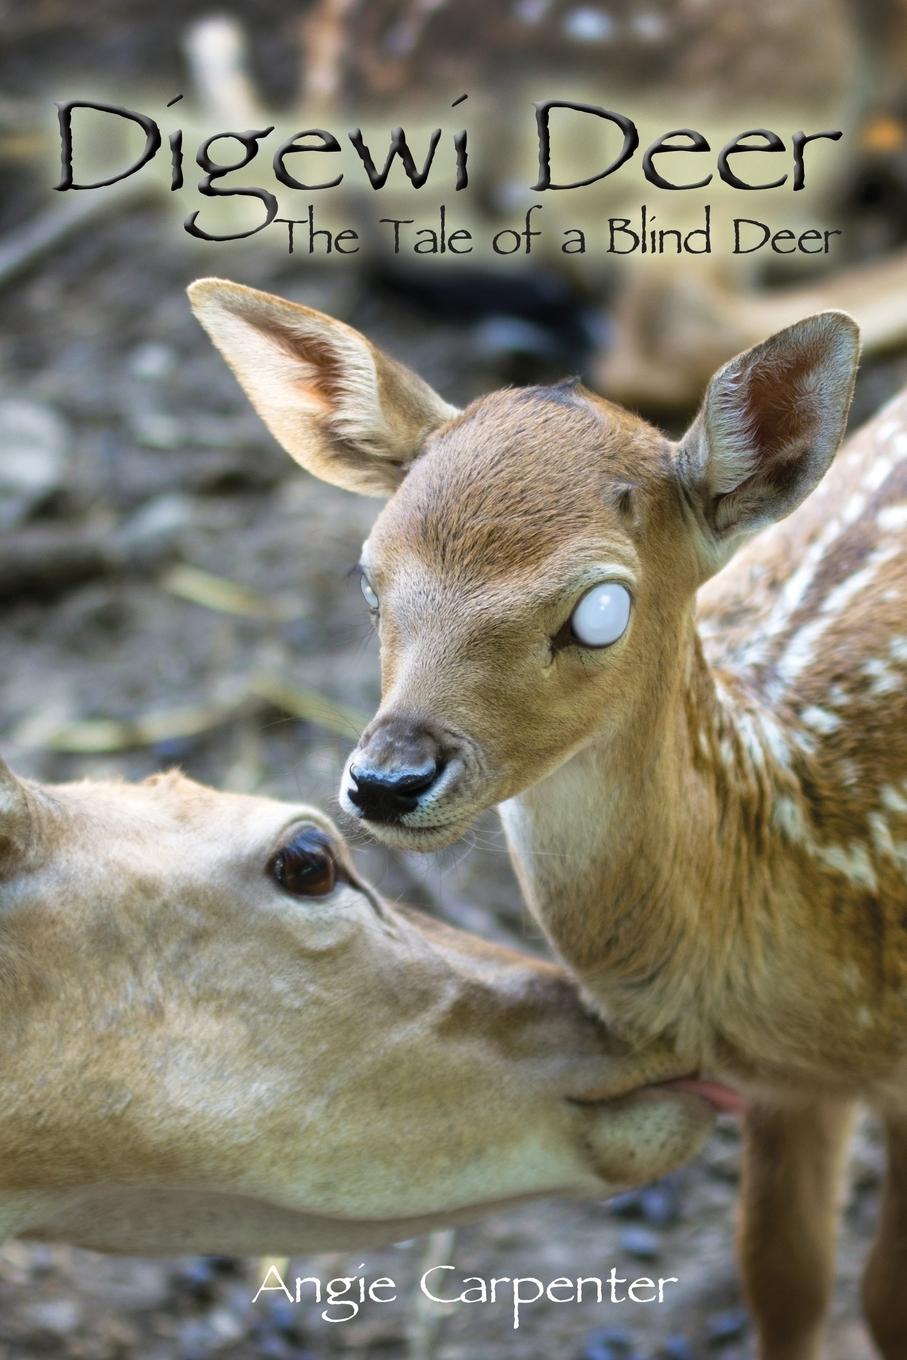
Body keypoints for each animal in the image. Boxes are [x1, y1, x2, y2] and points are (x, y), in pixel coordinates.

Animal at [189, 276, 907, 1359]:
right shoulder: (789, 1087)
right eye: (368, 578)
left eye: (600, 607)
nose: (387, 779)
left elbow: (877, 1294)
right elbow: (783, 1279)